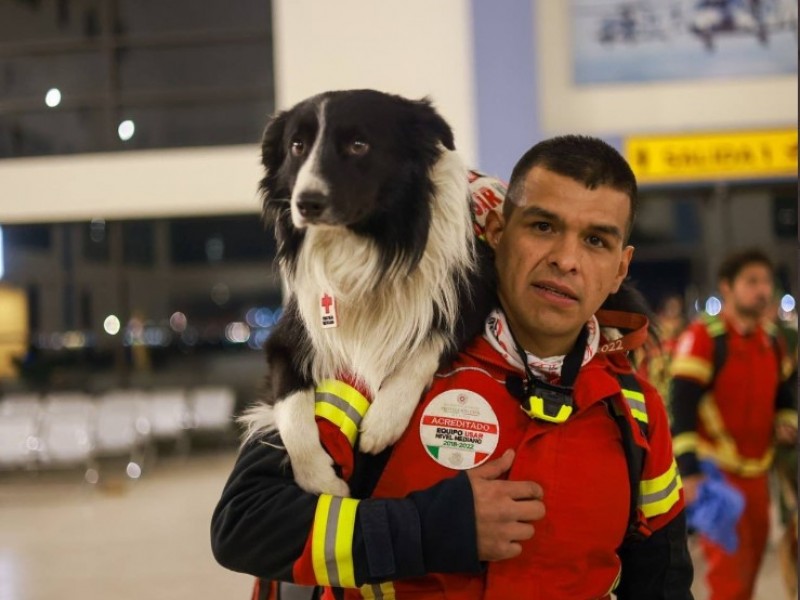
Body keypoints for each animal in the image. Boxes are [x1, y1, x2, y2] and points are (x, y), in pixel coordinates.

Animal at [244, 88, 494, 492]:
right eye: (297, 146)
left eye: (359, 145)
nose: (306, 203)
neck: (364, 248)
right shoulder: (286, 337)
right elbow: (291, 408)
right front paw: (322, 482)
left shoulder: (473, 294)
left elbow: (428, 344)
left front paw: (384, 420)